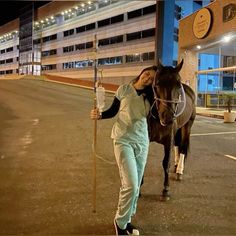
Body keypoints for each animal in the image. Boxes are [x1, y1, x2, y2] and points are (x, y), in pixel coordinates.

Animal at [148, 59, 195, 201]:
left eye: (178, 85)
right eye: (157, 84)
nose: (168, 117)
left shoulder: (168, 139)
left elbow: (166, 163)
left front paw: (166, 190)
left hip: (187, 126)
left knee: (183, 146)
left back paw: (179, 170)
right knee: (178, 145)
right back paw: (177, 165)